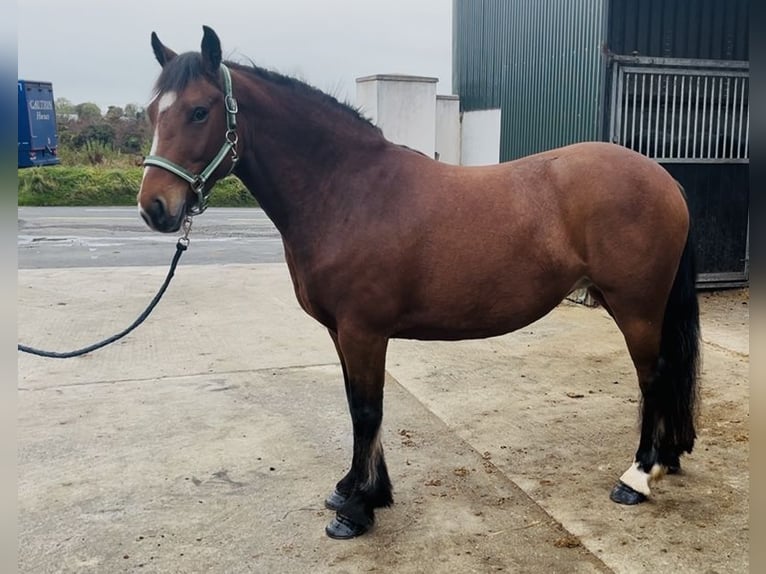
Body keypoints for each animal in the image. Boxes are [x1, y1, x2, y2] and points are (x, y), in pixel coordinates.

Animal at [138, 26, 700, 540]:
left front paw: (357, 510)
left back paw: (637, 477)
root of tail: (665, 178)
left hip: (637, 307)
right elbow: (356, 405)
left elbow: (368, 410)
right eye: (151, 112)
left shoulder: (364, 331)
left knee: (653, 377)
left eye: (199, 111)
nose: (155, 207)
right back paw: (665, 460)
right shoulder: (341, 332)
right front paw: (355, 488)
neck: (346, 190)